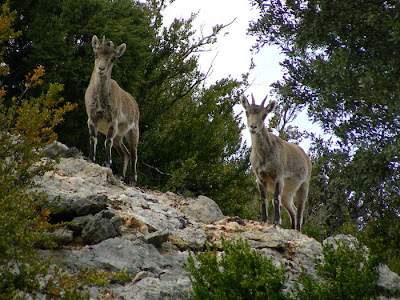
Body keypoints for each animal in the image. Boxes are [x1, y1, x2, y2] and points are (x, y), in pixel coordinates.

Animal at [85, 35, 140, 185]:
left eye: (113, 58)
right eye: (96, 54)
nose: (101, 68)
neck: (100, 99)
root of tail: (135, 103)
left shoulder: (113, 120)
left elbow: (107, 141)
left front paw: (106, 163)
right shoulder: (92, 117)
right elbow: (93, 138)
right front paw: (91, 158)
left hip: (133, 130)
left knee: (134, 153)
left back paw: (133, 179)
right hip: (119, 136)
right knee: (125, 153)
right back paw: (120, 175)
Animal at [241, 94, 312, 232]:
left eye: (264, 115)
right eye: (247, 112)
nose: (253, 127)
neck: (264, 155)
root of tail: (307, 157)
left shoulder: (279, 176)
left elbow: (275, 199)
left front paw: (276, 222)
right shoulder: (259, 178)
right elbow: (263, 199)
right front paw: (263, 220)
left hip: (304, 185)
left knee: (300, 211)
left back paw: (298, 230)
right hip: (287, 194)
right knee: (292, 210)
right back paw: (292, 228)